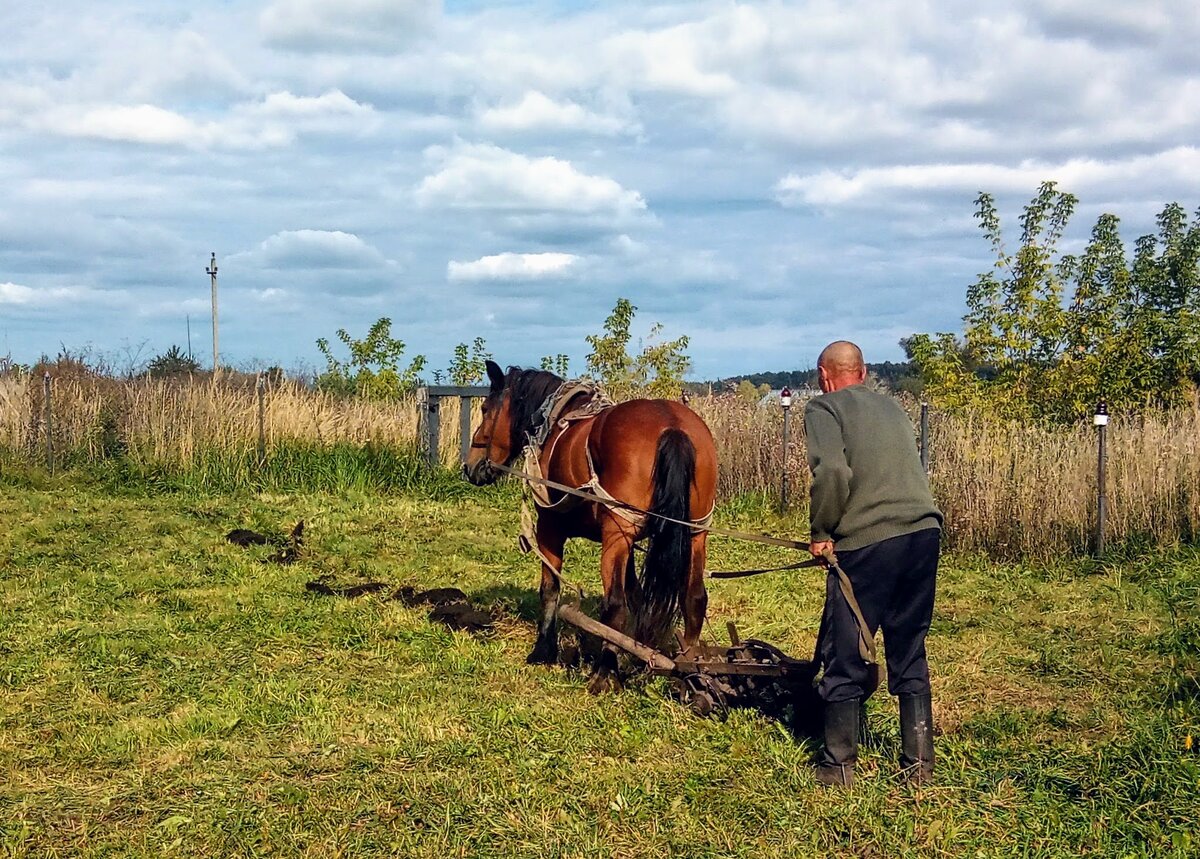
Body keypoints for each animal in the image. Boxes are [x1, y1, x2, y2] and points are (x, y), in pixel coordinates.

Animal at [463, 359, 715, 691]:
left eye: (485, 409)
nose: (470, 466)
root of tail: (672, 426)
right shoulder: (628, 542)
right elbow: (637, 595)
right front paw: (636, 653)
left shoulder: (551, 529)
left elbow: (550, 589)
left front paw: (543, 651)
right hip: (695, 532)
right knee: (694, 598)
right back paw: (689, 672)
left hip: (617, 533)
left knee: (614, 604)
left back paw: (603, 673)